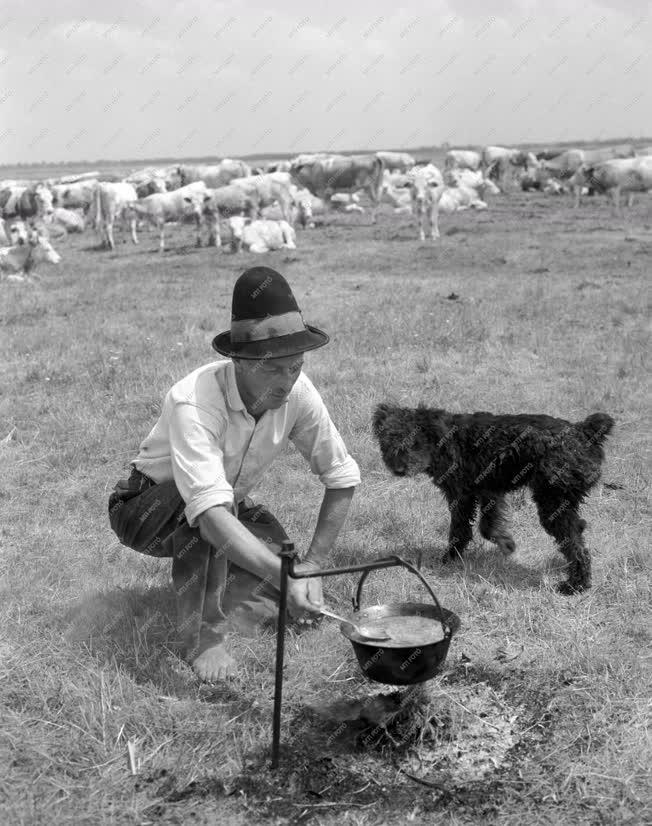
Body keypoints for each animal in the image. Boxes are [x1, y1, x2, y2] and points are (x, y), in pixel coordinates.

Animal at [374, 400, 612, 588]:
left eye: (414, 442)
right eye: (386, 441)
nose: (398, 470)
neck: (442, 440)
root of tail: (583, 431)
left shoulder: (462, 495)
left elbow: (460, 530)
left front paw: (449, 558)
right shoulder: (489, 491)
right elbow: (487, 526)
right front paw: (506, 542)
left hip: (553, 503)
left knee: (576, 546)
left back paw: (575, 586)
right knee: (578, 531)